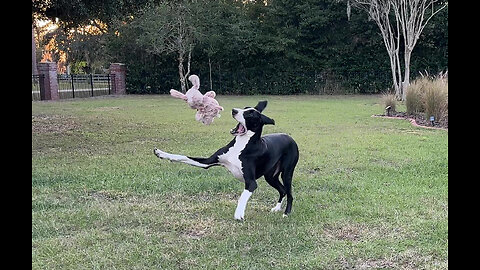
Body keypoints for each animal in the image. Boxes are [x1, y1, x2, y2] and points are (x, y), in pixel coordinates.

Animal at [154, 100, 298, 220]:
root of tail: (290, 137)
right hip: (270, 176)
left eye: (251, 114)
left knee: (289, 193)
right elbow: (183, 157)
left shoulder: (251, 183)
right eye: (245, 108)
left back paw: (286, 213)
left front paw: (239, 213)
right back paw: (277, 208)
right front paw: (161, 153)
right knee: (282, 190)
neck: (241, 145)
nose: (234, 110)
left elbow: (242, 197)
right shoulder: (208, 161)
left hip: (287, 173)